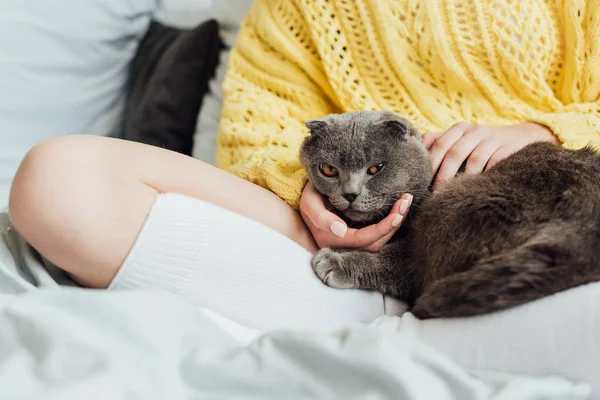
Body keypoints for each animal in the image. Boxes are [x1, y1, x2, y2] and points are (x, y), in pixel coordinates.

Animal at [302, 109, 600, 318]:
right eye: (328, 169)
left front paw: (334, 261)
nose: (350, 194)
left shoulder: (411, 255)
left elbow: (390, 262)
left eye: (376, 168)